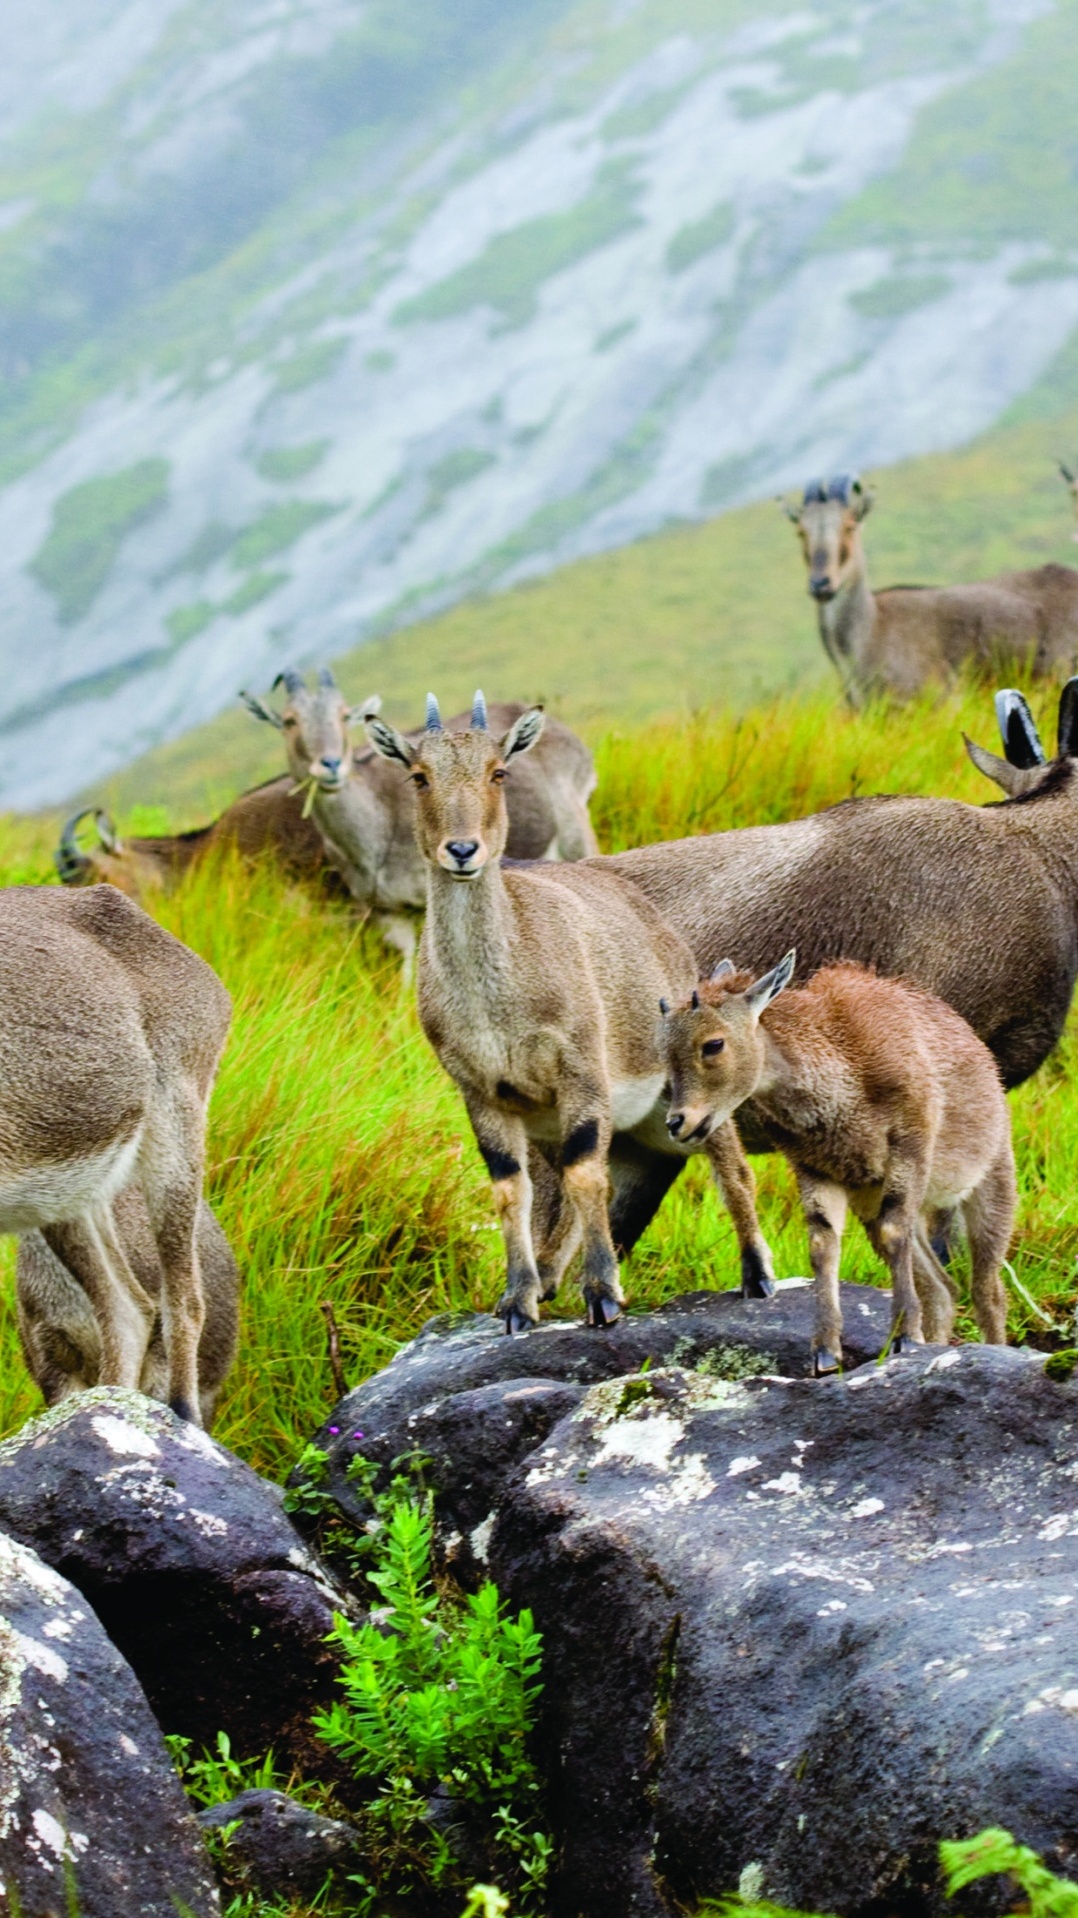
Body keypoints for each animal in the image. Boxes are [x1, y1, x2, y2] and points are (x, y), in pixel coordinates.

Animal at [659, 959, 1012, 1380]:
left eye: (713, 1043)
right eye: (663, 1051)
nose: (677, 1122)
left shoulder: (910, 1143)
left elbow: (894, 1232)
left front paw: (905, 1337)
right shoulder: (817, 1168)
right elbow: (822, 1244)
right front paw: (825, 1353)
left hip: (994, 1179)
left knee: (987, 1290)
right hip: (873, 1202)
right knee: (942, 1288)